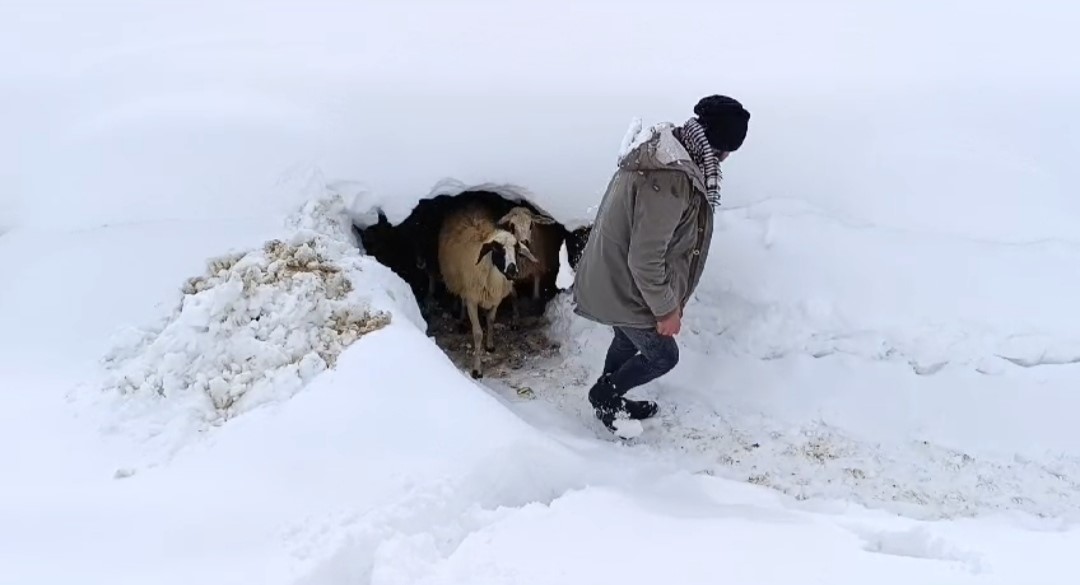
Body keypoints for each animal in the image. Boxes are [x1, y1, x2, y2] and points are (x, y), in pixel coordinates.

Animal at [438, 203, 540, 377]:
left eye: (516, 249)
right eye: (498, 250)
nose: (513, 271)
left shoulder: (495, 299)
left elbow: (491, 320)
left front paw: (490, 345)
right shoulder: (472, 299)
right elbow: (478, 333)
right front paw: (477, 369)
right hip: (459, 281)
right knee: (461, 298)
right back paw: (461, 319)